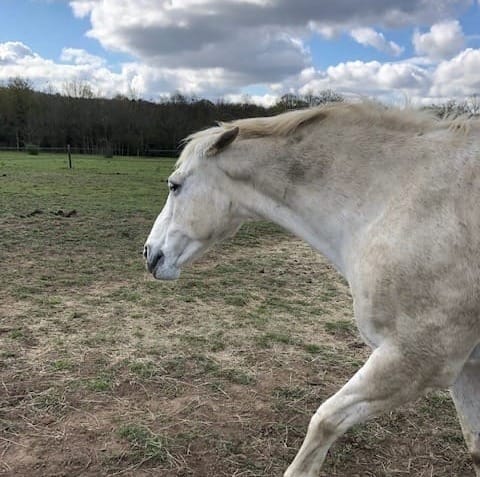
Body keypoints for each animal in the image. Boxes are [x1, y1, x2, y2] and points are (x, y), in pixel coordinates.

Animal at [145, 102, 480, 474]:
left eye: (174, 185)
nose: (150, 254)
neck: (396, 200)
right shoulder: (466, 370)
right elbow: (475, 448)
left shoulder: (414, 360)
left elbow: (324, 421)